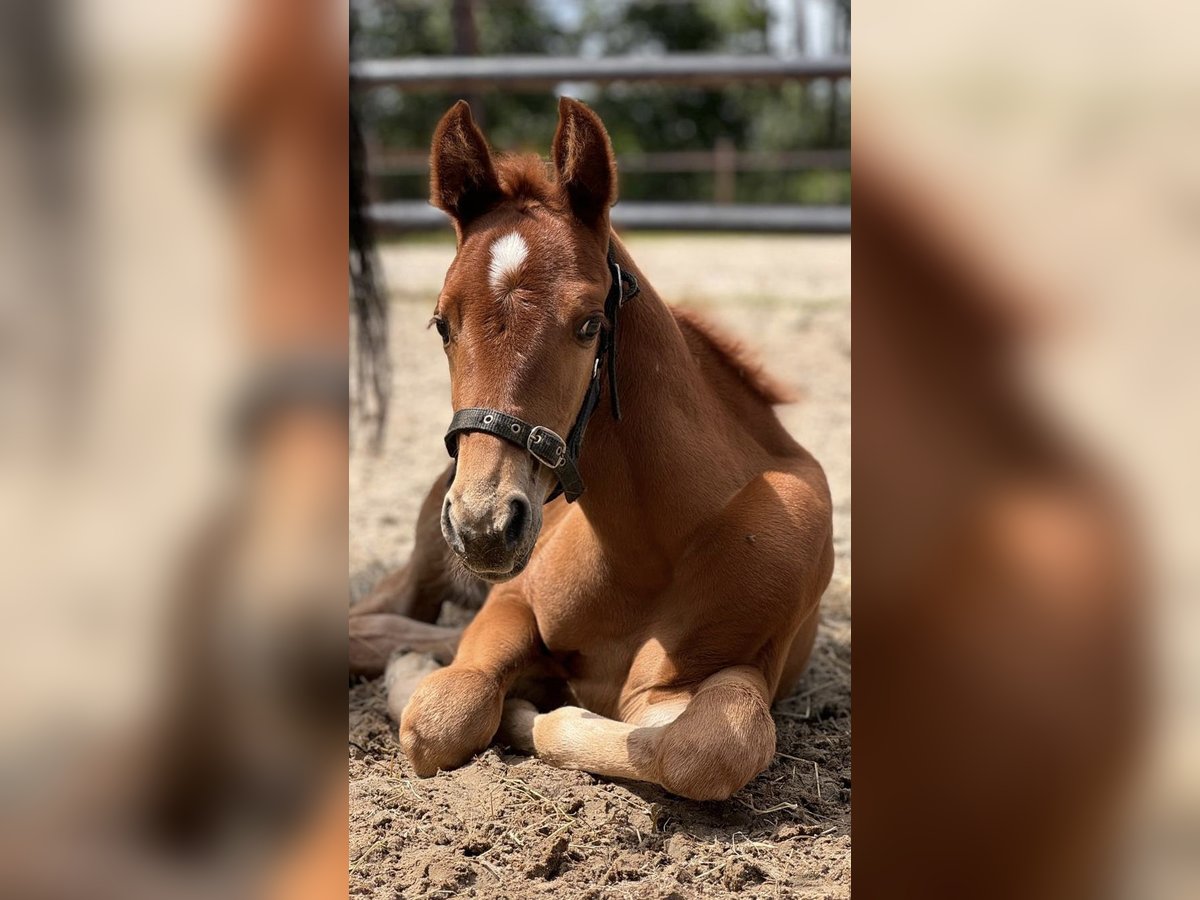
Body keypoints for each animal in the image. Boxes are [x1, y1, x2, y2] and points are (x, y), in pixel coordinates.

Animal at [350, 98, 830, 801]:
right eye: (441, 324)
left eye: (588, 326)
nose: (483, 526)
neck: (649, 547)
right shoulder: (511, 601)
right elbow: (444, 710)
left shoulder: (721, 674)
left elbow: (705, 749)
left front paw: (530, 707)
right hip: (427, 563)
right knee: (384, 615)